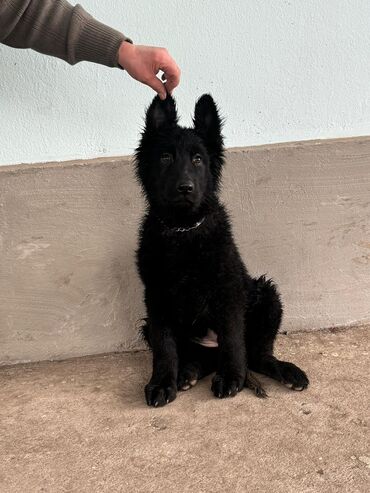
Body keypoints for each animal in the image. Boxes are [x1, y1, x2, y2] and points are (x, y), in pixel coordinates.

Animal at [134, 94, 308, 406]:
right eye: (165, 158)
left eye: (198, 159)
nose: (185, 188)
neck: (184, 230)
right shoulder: (156, 297)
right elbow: (165, 347)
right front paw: (161, 383)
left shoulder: (227, 290)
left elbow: (231, 338)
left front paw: (230, 377)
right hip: (149, 326)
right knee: (198, 357)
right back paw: (186, 373)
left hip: (267, 296)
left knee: (257, 356)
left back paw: (286, 371)